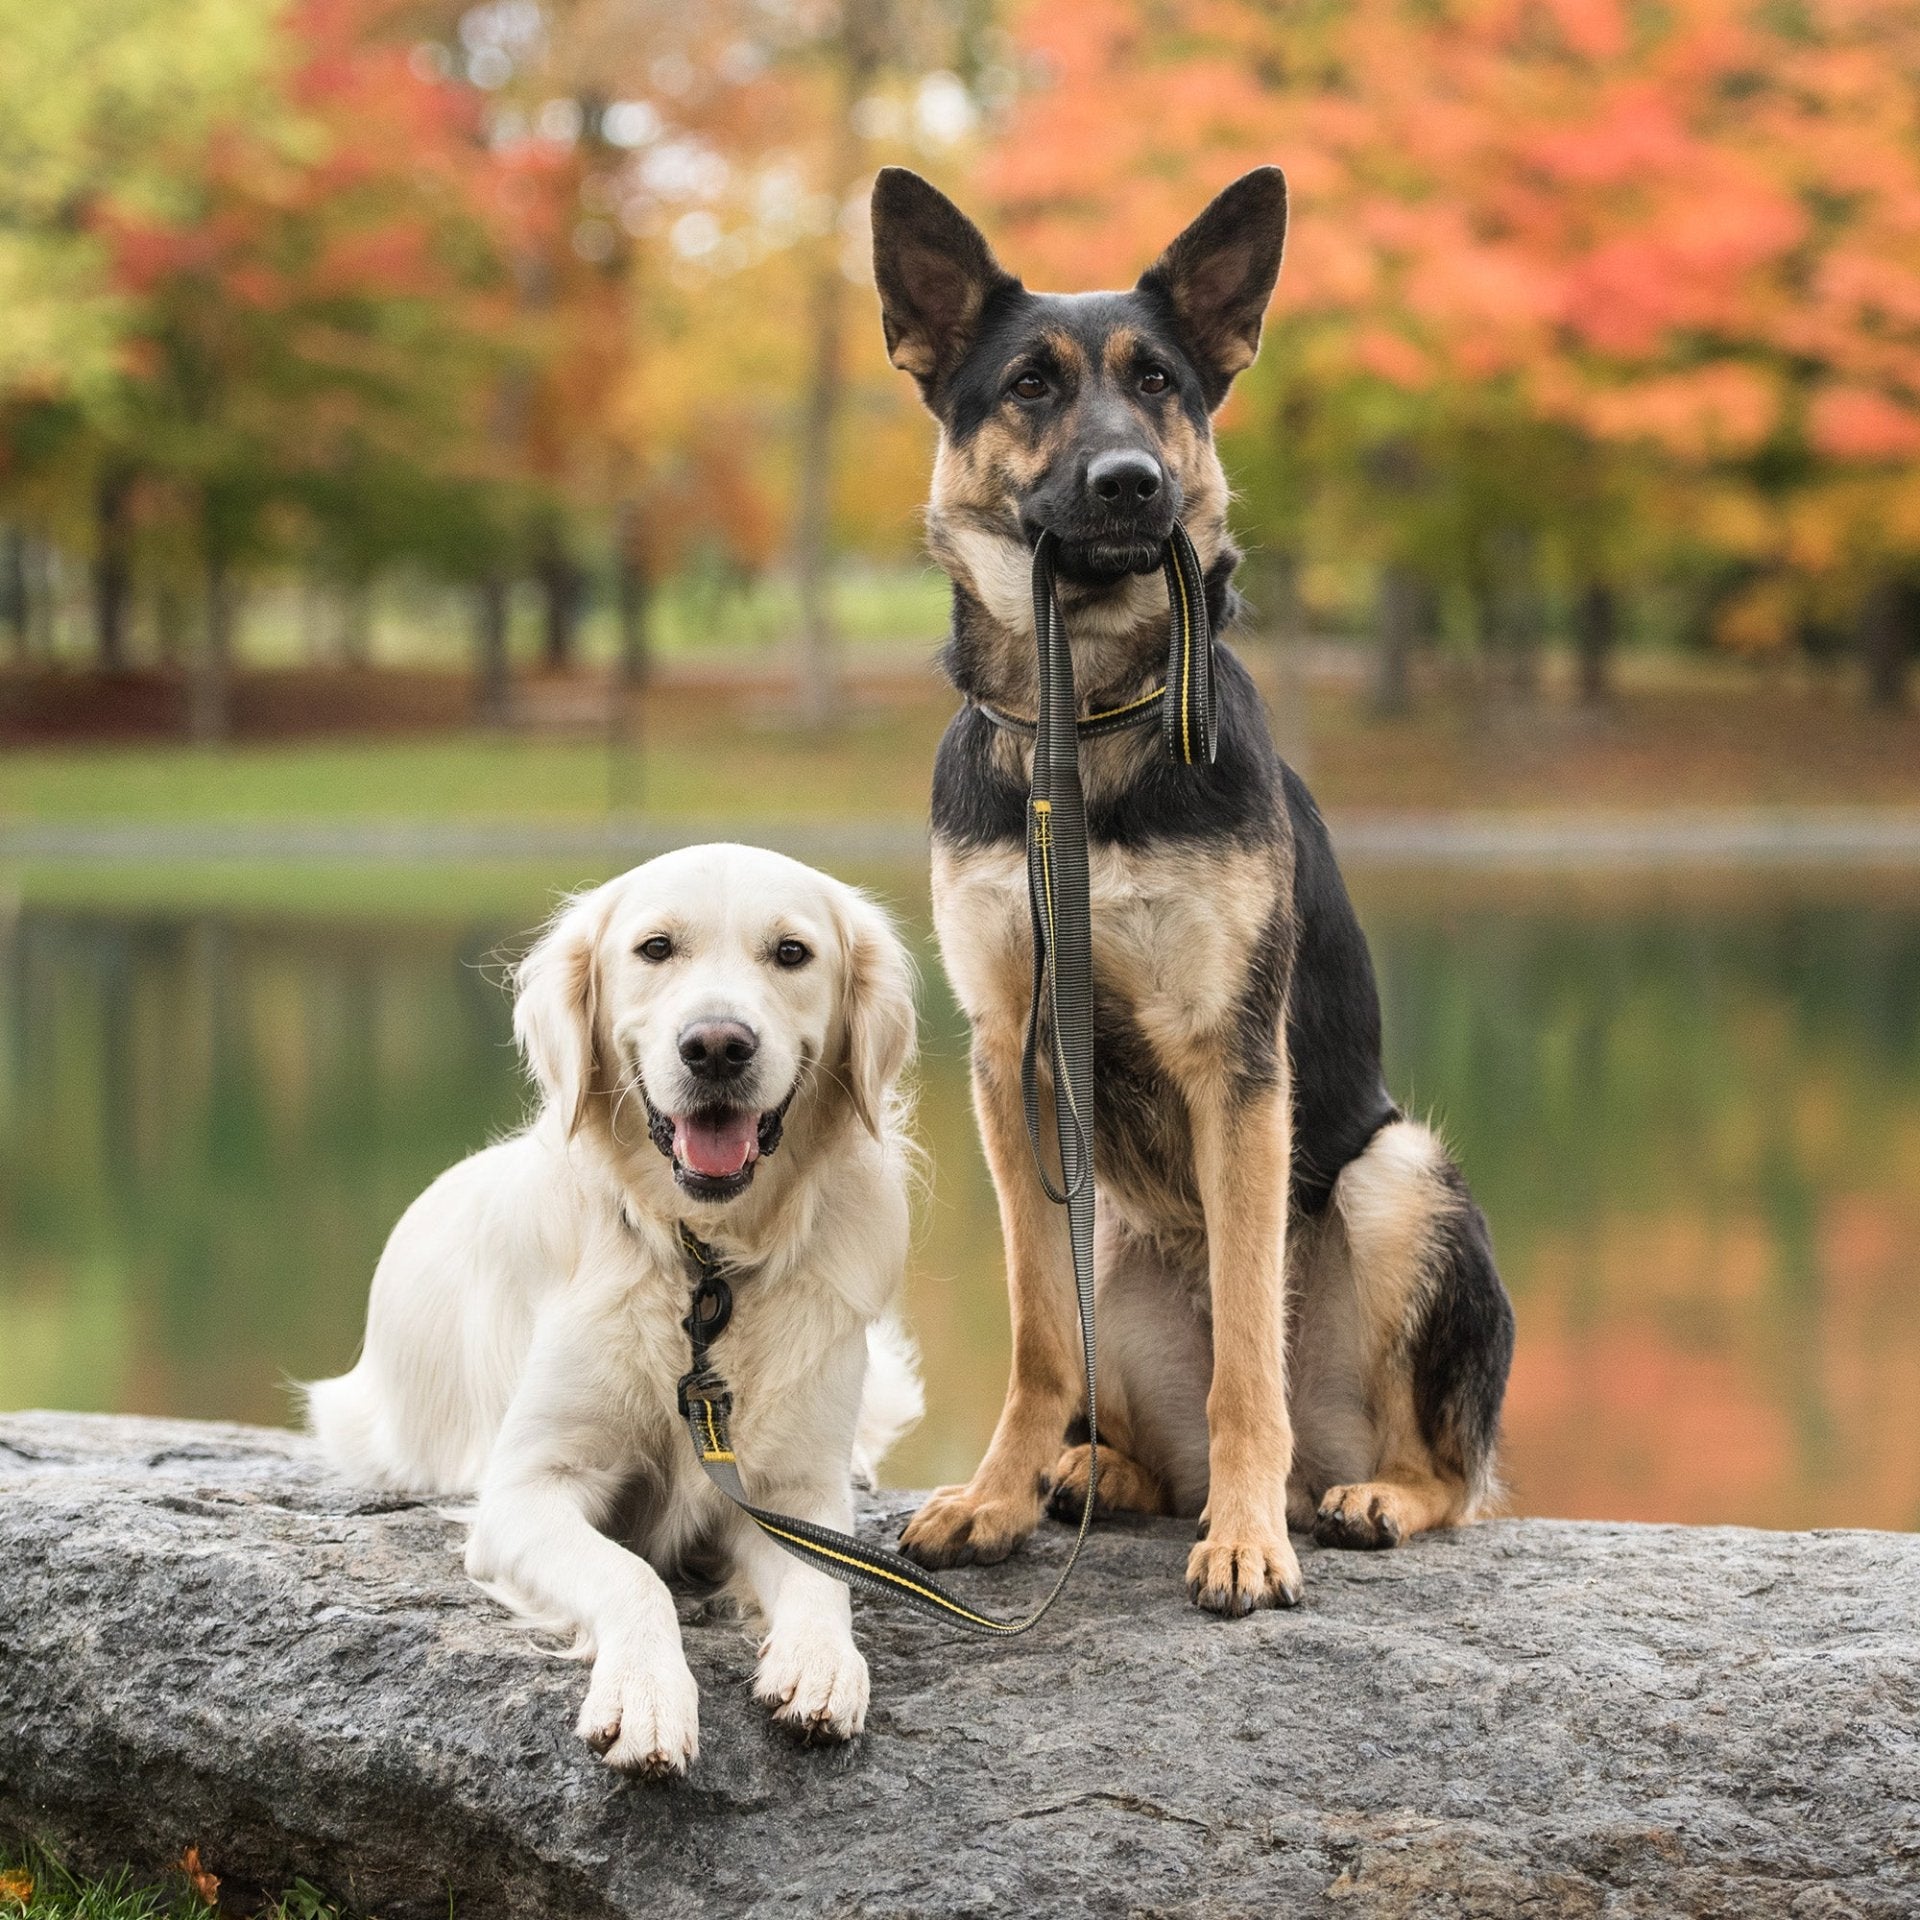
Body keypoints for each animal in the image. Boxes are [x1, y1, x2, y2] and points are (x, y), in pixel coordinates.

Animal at [307, 848, 921, 1774]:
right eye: (655, 947)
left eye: (792, 953)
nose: (716, 1046)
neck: (704, 1266)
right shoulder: (526, 1492)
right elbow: (631, 1577)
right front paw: (646, 1697)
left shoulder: (791, 1491)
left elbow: (825, 1577)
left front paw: (821, 1663)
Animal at [871, 165, 1512, 1612]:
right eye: (1031, 386)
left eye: (1160, 380)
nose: (1132, 481)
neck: (1088, 722)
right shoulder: (1009, 1060)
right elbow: (1035, 1337)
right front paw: (998, 1494)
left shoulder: (1237, 1060)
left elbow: (1244, 1357)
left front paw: (1247, 1534)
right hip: (1104, 1226)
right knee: (1128, 1417)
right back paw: (1089, 1474)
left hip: (1401, 1174)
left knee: (1444, 1471)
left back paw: (1359, 1498)